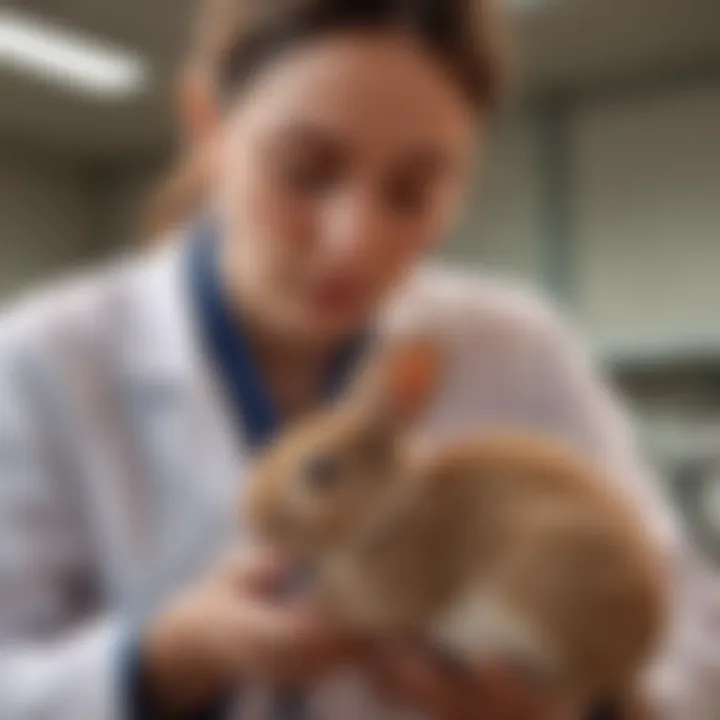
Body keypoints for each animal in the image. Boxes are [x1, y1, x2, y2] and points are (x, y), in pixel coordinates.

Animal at [245, 338, 668, 716]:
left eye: (321, 471)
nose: (254, 515)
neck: (393, 507)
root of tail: (625, 660)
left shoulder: (392, 594)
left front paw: (318, 602)